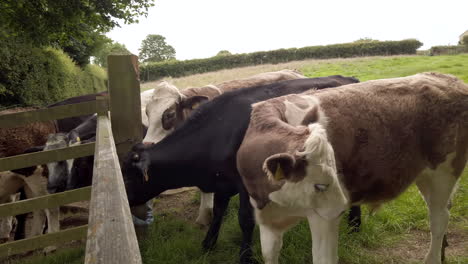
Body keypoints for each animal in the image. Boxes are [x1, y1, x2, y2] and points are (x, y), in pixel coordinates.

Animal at [238, 71, 468, 264]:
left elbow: (323, 259)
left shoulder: (323, 218)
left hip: (444, 172)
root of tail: (446, 78)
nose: (344, 206)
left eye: (336, 171)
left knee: (439, 219)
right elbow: (269, 254)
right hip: (425, 175)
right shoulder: (268, 220)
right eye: (319, 185)